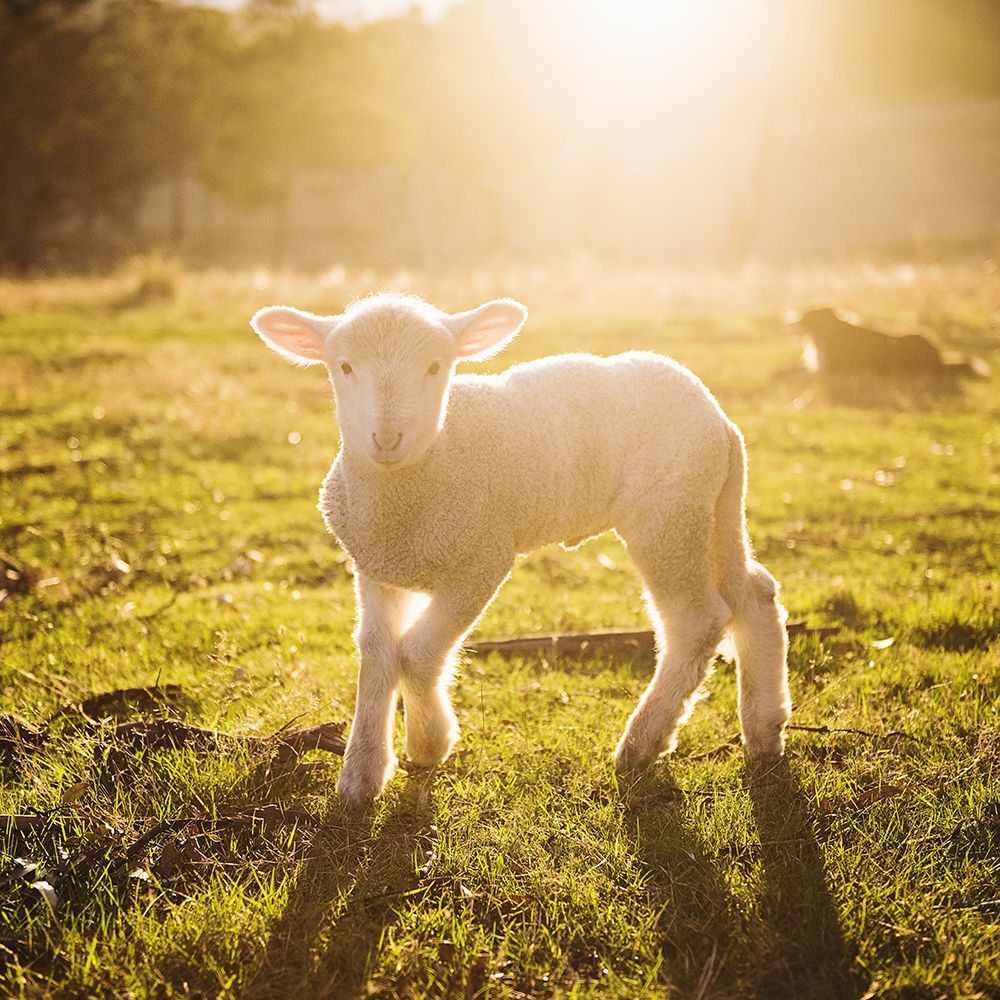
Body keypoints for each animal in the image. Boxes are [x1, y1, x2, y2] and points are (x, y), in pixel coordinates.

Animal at [250, 293, 792, 803]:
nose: (386, 438)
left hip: (667, 515)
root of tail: (719, 418)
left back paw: (642, 743)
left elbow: (418, 653)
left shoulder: (481, 560)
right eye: (343, 366)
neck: (419, 477)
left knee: (696, 622)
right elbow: (378, 651)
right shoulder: (376, 566)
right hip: (714, 507)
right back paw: (765, 730)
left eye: (435, 366)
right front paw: (362, 773)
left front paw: (429, 743)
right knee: (755, 595)